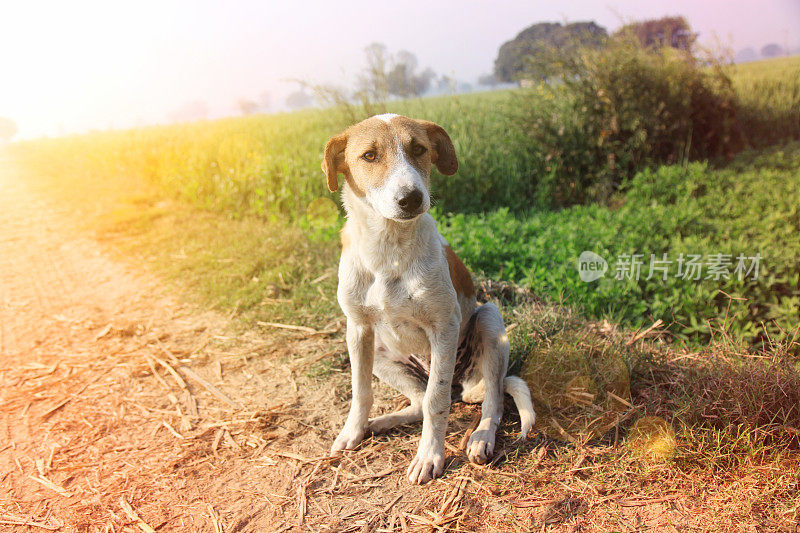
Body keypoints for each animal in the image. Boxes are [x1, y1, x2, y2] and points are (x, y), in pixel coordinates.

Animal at [322, 112, 536, 482]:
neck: (388, 252)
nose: (411, 198)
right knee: (418, 401)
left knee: (489, 399)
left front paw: (429, 456)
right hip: (381, 355)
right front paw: (353, 431)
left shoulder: (444, 327)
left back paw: (482, 437)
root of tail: (463, 385)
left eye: (419, 149)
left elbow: (438, 402)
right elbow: (361, 392)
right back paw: (379, 423)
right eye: (369, 156)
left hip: (490, 321)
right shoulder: (358, 329)